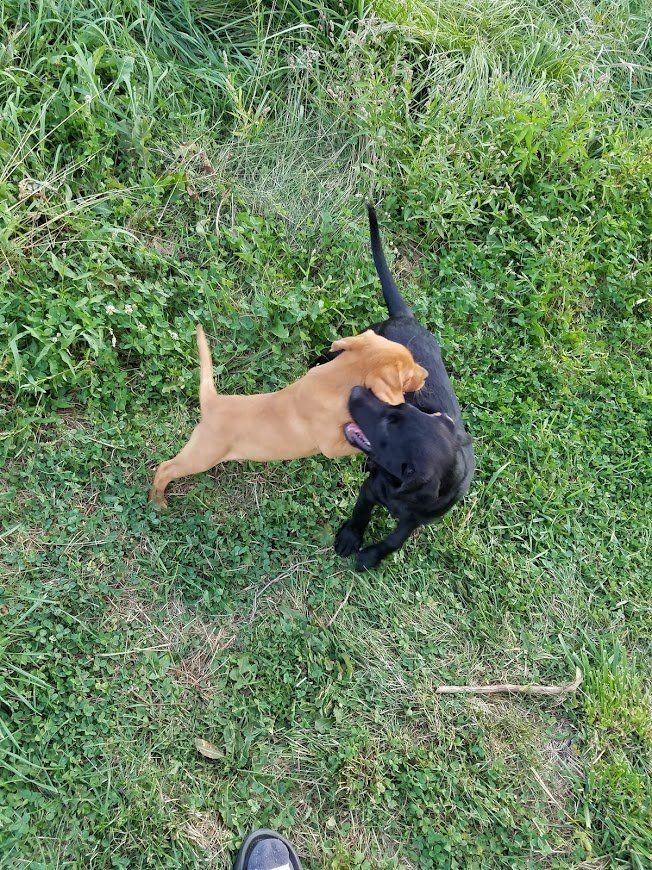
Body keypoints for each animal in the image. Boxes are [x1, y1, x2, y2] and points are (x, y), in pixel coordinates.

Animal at [336, 205, 474, 572]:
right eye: (398, 408)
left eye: (390, 423)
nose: (356, 392)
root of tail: (406, 317)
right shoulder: (371, 491)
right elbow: (360, 513)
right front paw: (350, 538)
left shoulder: (418, 520)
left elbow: (395, 540)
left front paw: (370, 555)